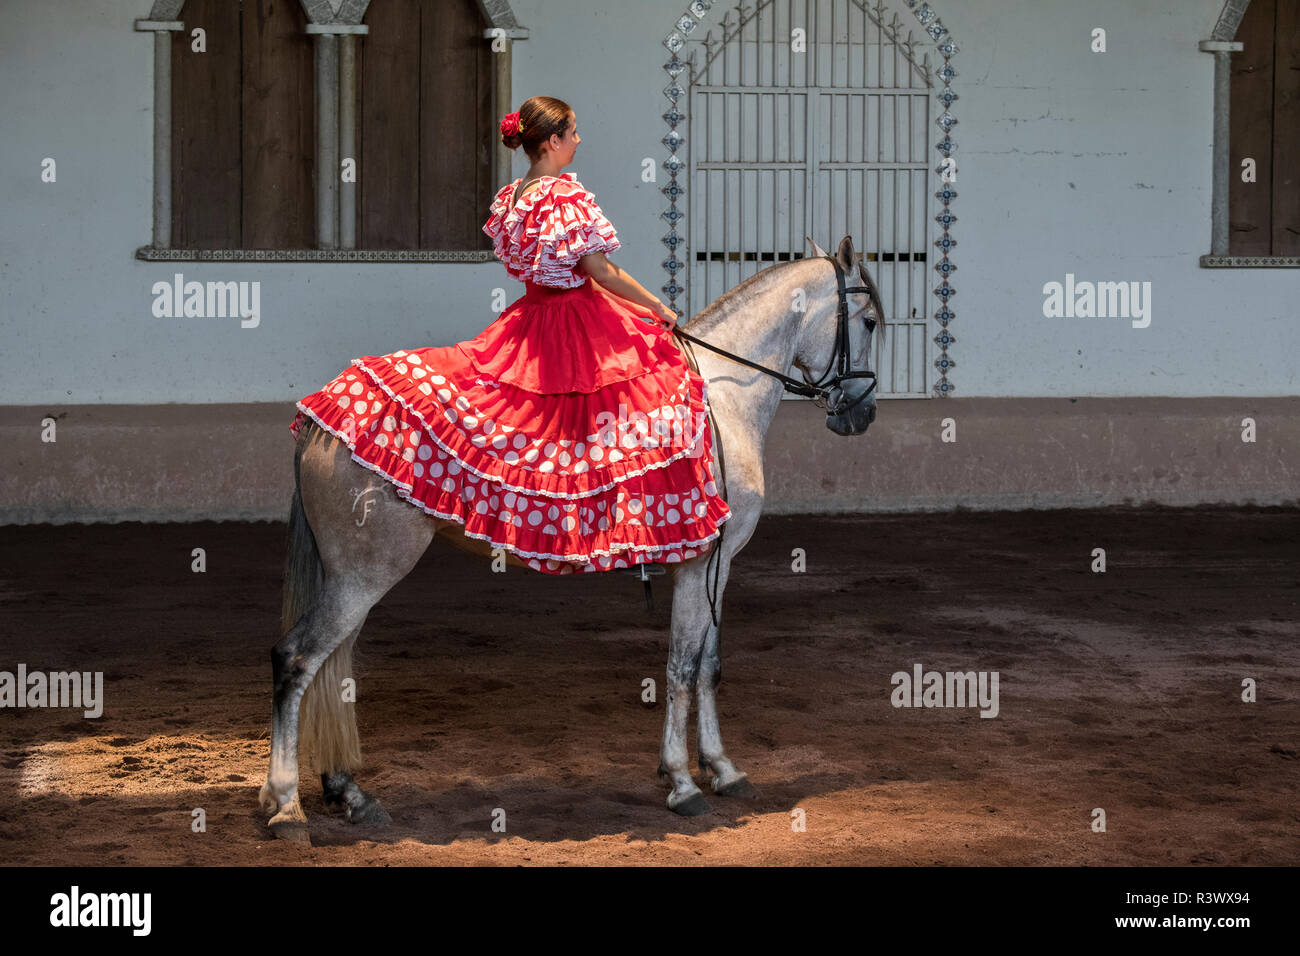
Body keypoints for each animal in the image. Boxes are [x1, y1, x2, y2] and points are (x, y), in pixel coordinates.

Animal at [261, 235, 883, 842]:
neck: (725, 396)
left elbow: (708, 666)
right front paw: (683, 784)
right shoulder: (701, 563)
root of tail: (319, 420)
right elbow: (682, 667)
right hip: (364, 576)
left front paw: (724, 771)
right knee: (297, 660)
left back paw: (349, 795)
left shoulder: (717, 567)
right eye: (872, 321)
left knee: (332, 669)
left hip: (354, 578)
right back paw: (287, 807)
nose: (862, 414)